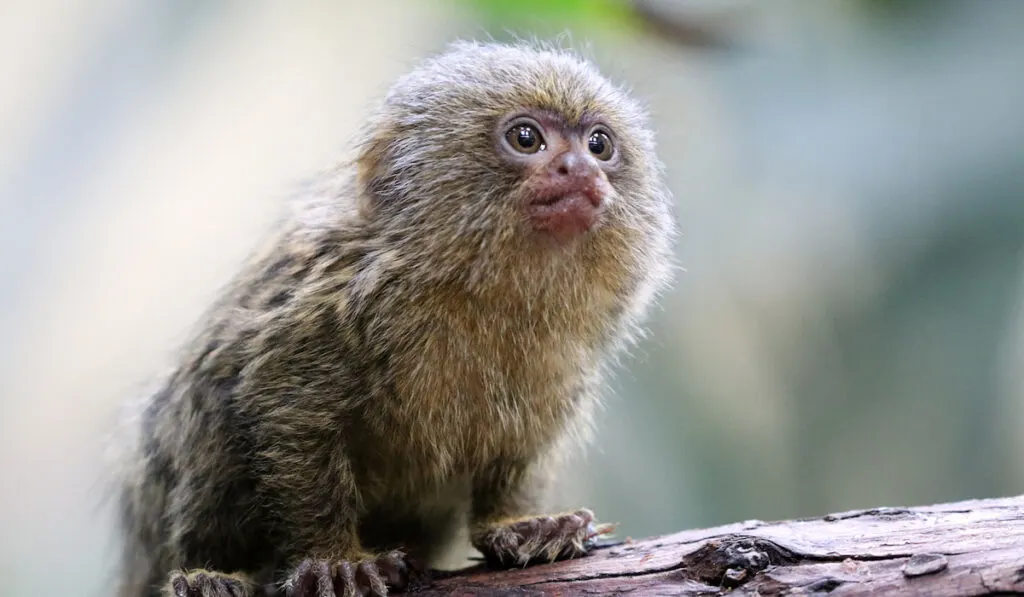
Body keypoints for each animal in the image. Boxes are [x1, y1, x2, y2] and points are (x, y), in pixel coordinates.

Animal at [112, 41, 675, 597]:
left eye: (599, 144)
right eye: (526, 138)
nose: (580, 169)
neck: (474, 289)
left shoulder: (561, 359)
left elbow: (520, 447)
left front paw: (519, 525)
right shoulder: (328, 305)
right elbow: (285, 413)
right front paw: (335, 560)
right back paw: (208, 575)